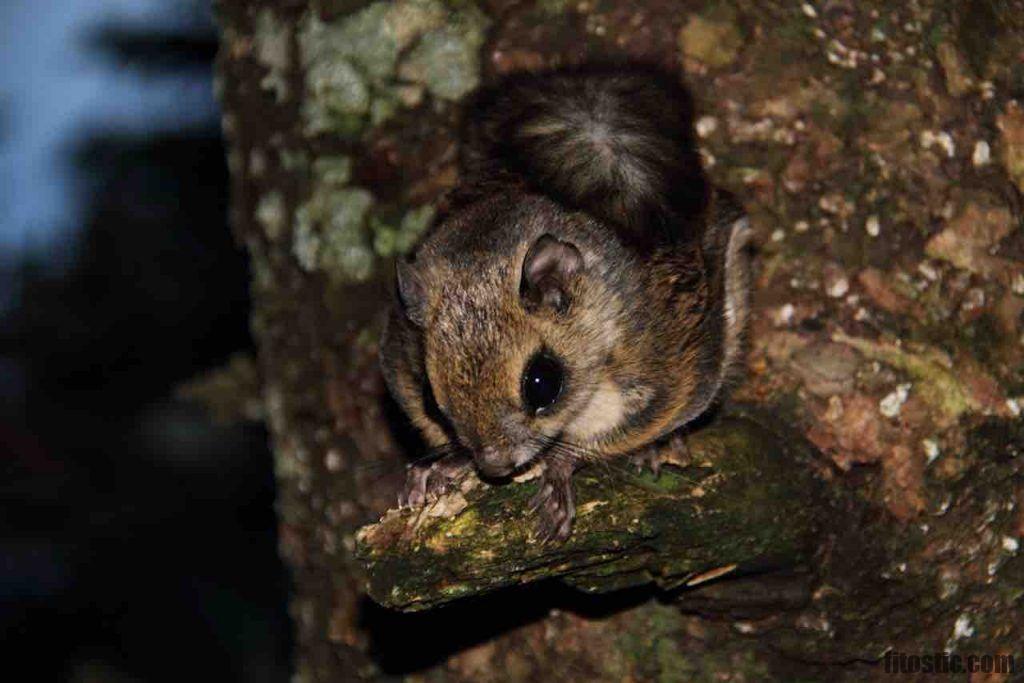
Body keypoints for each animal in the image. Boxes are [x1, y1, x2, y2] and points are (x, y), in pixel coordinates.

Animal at [380, 65, 749, 544]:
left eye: (542, 383)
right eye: (428, 394)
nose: (493, 465)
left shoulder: (667, 374)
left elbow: (610, 437)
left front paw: (558, 475)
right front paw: (439, 468)